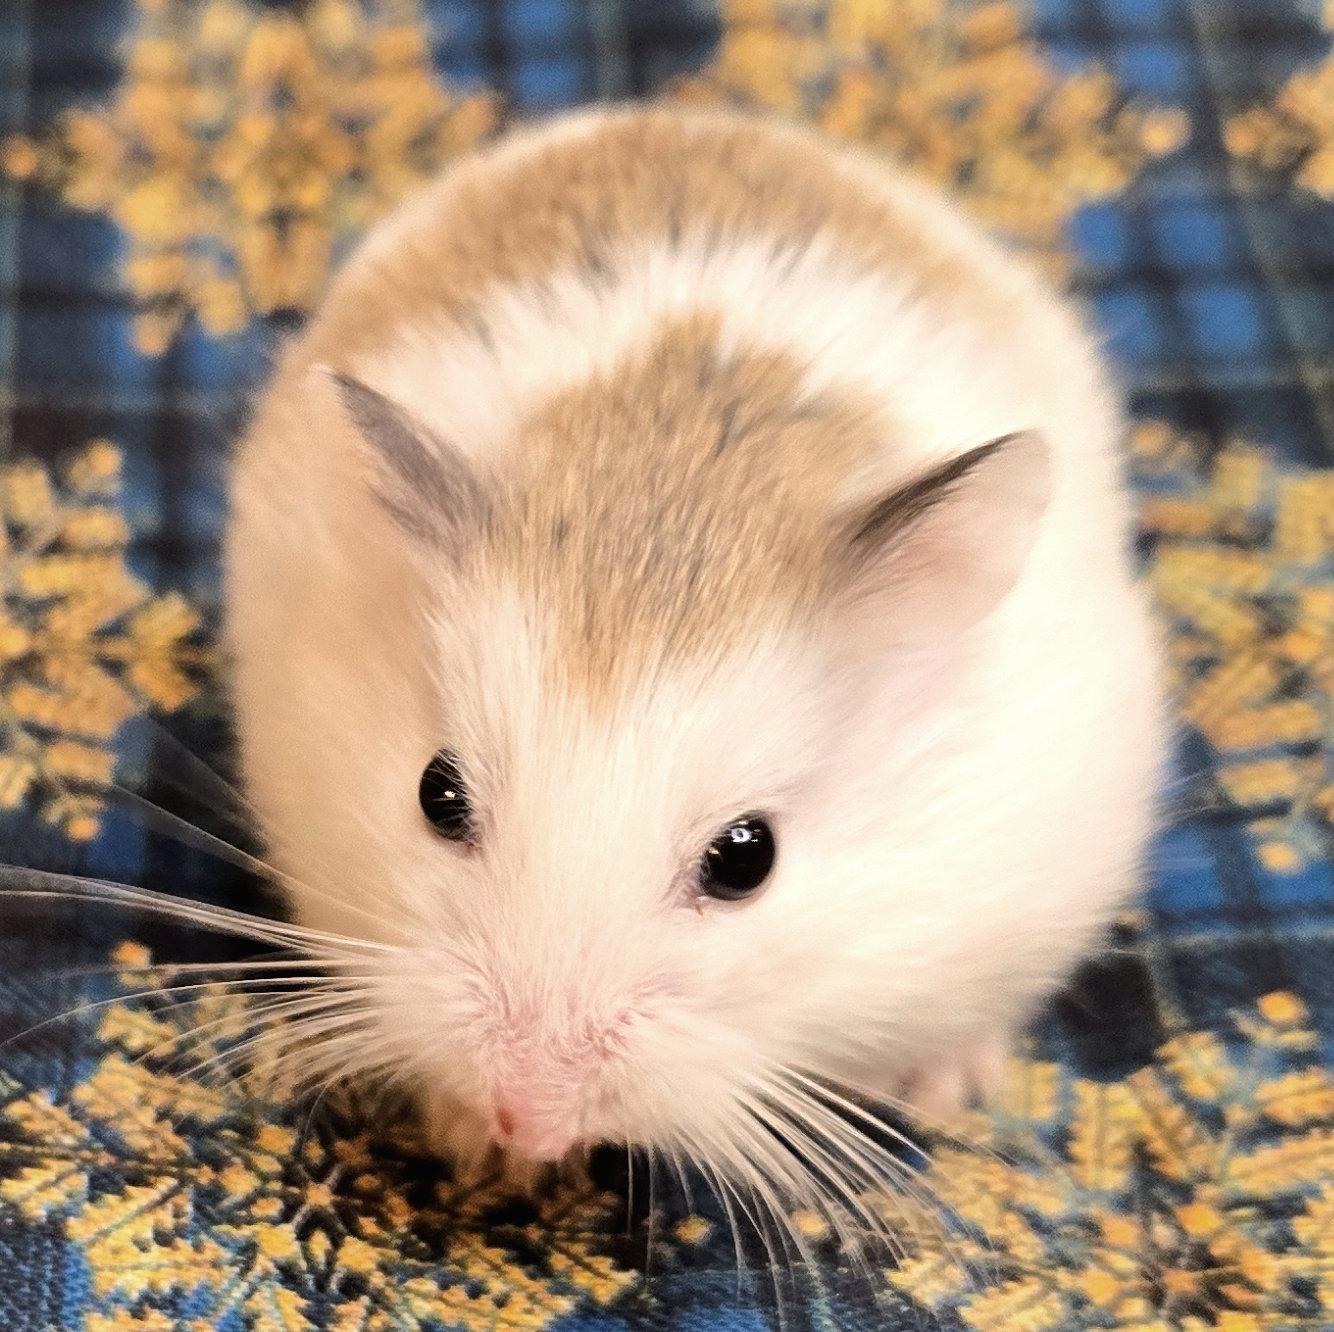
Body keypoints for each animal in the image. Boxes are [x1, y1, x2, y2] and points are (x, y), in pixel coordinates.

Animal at [225, 107, 1164, 1182]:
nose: (531, 1119)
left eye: (746, 861)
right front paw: (479, 1154)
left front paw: (944, 1092)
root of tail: (683, 115)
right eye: (436, 794)